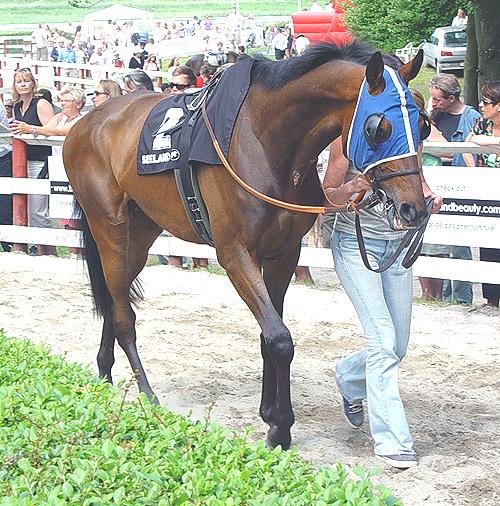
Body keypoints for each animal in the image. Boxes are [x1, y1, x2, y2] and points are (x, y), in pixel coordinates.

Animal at [63, 41, 427, 450]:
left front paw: (270, 413)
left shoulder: (285, 253)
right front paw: (280, 426)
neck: (266, 143)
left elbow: (271, 332)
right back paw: (146, 393)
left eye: (423, 123)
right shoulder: (236, 254)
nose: (415, 207)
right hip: (109, 226)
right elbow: (280, 338)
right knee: (124, 314)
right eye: (379, 127)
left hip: (140, 234)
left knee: (115, 295)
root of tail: (87, 122)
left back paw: (105, 374)